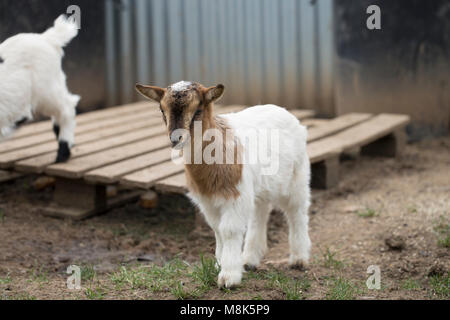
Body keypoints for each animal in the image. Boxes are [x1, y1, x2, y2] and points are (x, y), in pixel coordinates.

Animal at [137, 80, 312, 288]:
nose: (175, 139)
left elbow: (228, 230)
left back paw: (299, 259)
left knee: (297, 212)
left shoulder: (235, 195)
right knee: (259, 213)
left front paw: (229, 276)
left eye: (198, 109)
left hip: (296, 177)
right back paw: (249, 259)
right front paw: (220, 264)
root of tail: (284, 111)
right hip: (259, 187)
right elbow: (217, 229)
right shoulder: (208, 200)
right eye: (162, 109)